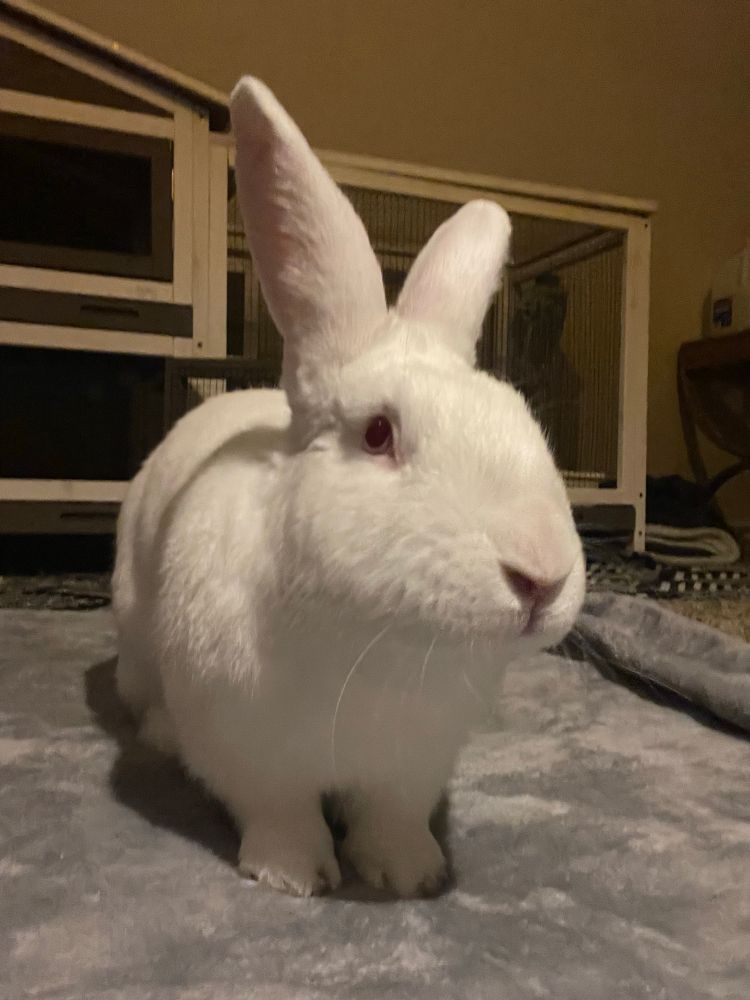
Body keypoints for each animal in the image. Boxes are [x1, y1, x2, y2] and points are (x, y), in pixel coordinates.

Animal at [112, 76, 585, 899]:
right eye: (377, 434)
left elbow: (393, 818)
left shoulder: (412, 767)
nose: (542, 577)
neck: (381, 643)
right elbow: (281, 814)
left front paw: (409, 877)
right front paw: (294, 877)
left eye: (523, 417)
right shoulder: (250, 752)